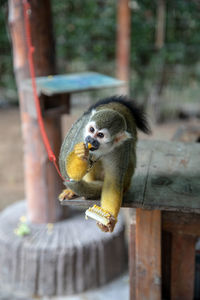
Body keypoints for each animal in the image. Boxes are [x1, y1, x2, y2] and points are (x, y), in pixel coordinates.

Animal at [59, 96, 150, 232]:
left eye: (100, 135)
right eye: (91, 130)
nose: (90, 139)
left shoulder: (120, 148)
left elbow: (113, 183)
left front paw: (108, 220)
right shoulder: (82, 134)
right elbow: (72, 173)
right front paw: (81, 153)